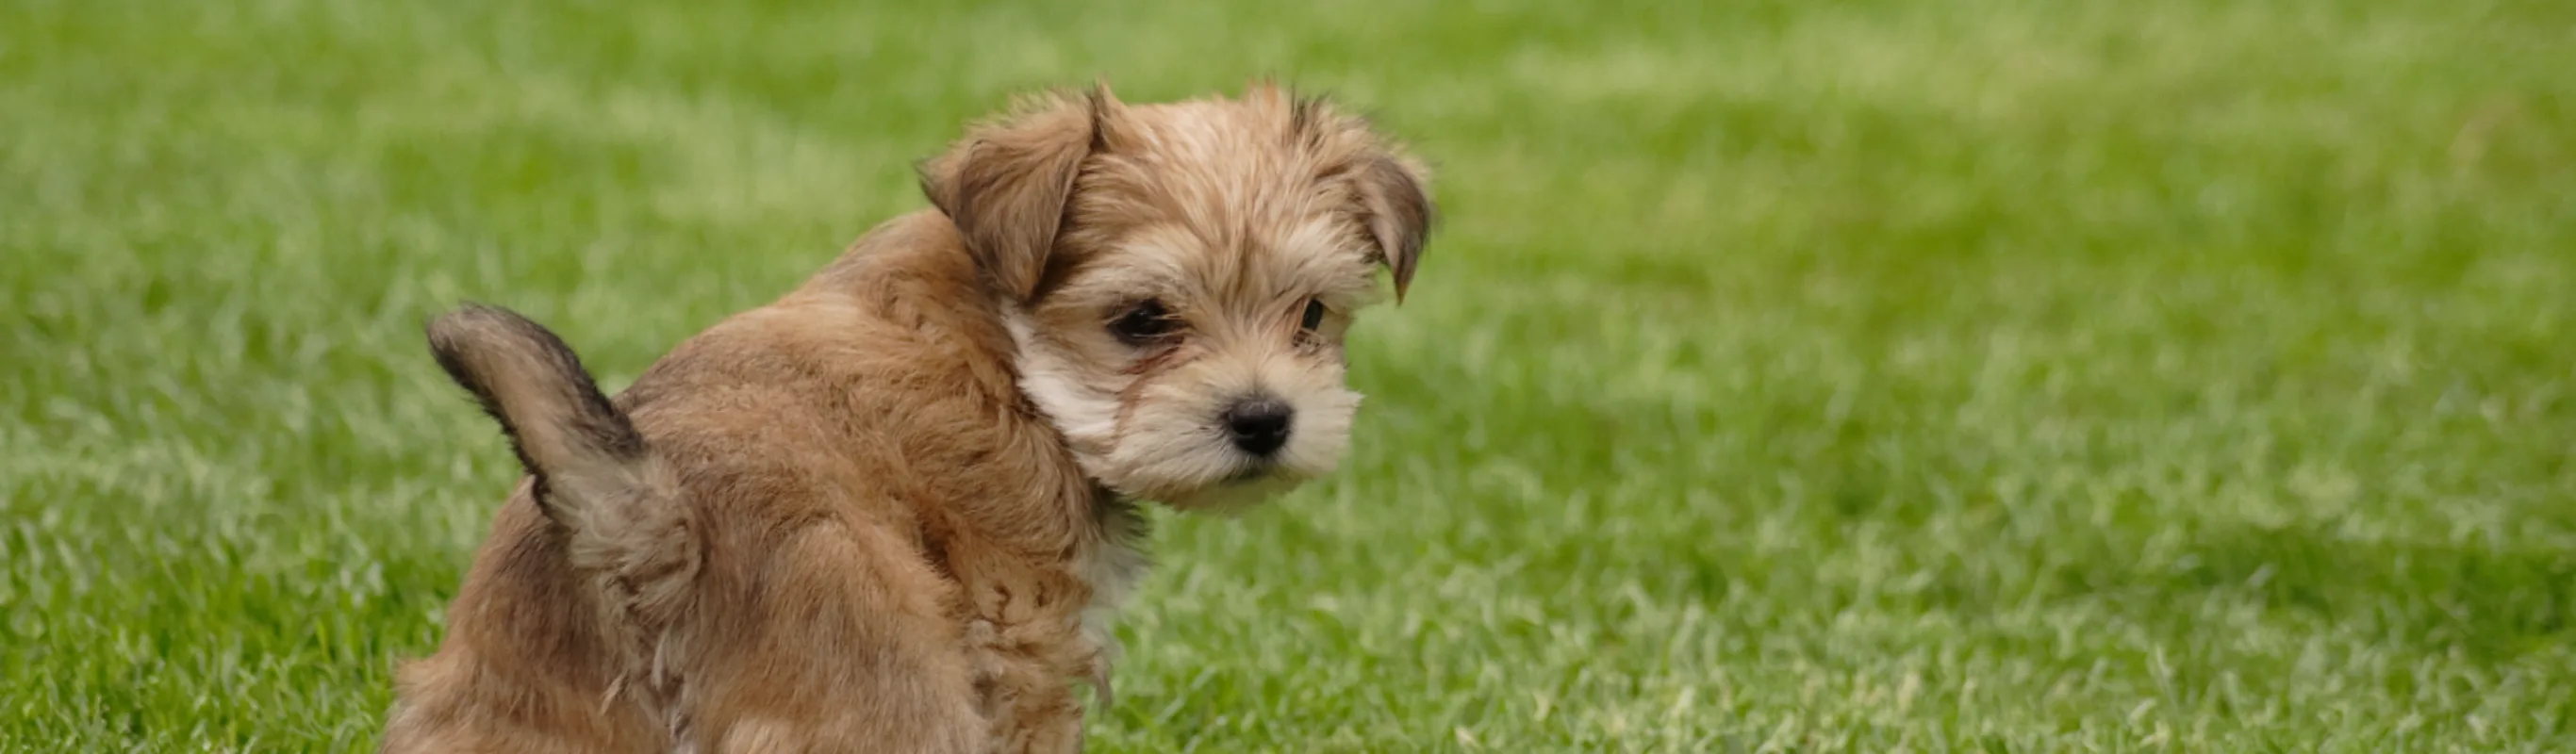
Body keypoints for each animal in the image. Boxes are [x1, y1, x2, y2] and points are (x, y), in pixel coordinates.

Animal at [375, 78, 1431, 746]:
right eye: (1141, 321)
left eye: (1310, 314)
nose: (1262, 418)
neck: (1009, 349)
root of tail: (646, 515)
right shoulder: (1024, 646)